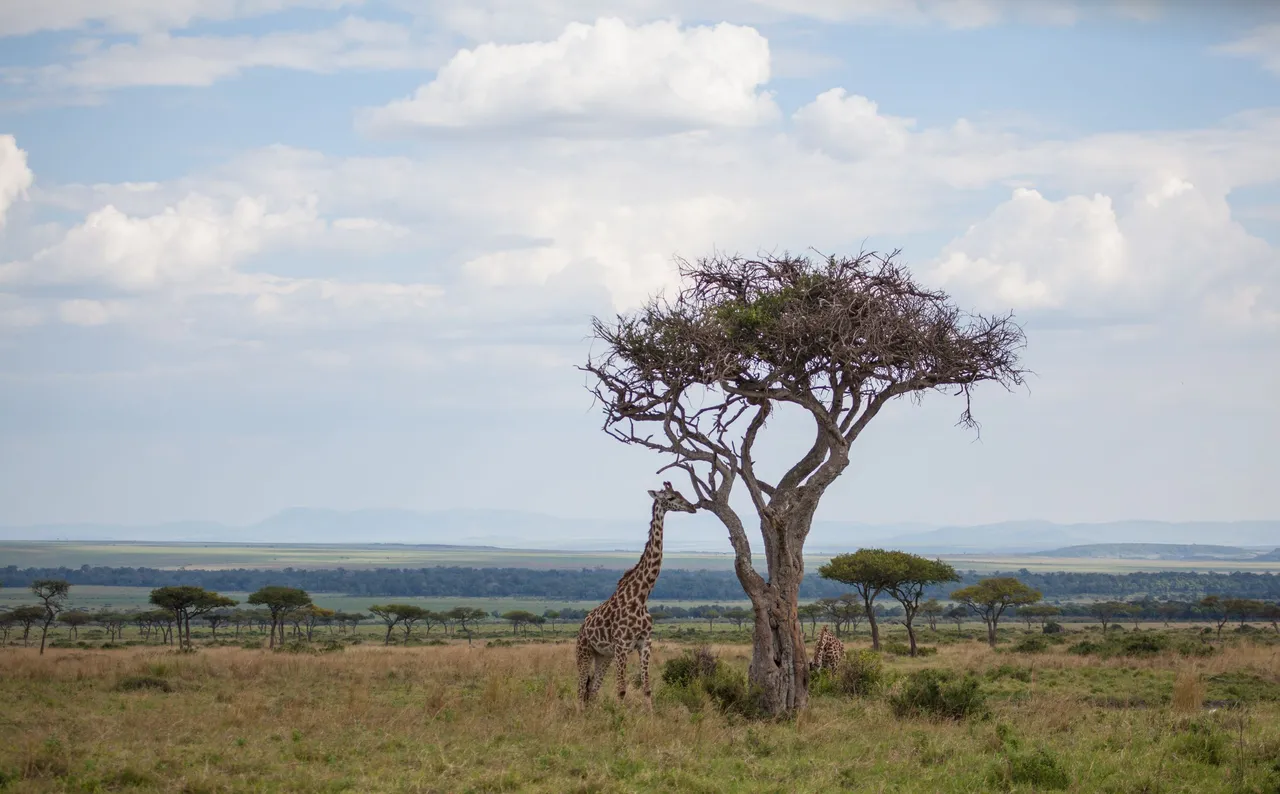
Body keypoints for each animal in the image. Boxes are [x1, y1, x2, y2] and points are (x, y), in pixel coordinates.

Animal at [581, 476, 701, 706]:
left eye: (681, 494)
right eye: (670, 498)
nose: (693, 507)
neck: (641, 596)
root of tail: (582, 625)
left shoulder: (645, 643)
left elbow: (646, 688)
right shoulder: (621, 646)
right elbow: (621, 690)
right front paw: (619, 715)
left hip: (603, 655)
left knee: (592, 690)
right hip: (584, 650)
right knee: (581, 688)